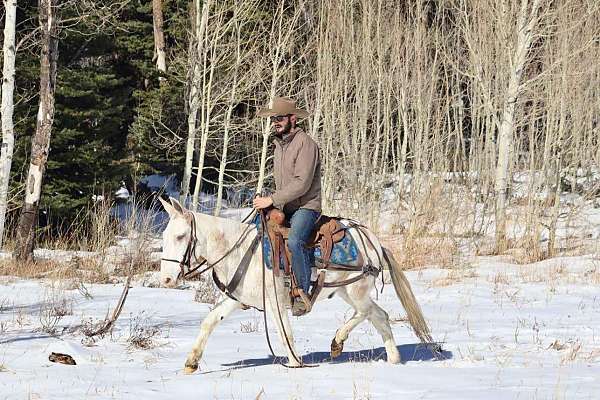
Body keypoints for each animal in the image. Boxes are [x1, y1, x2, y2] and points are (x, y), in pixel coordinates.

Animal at [157, 197, 434, 372]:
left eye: (181, 236)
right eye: (165, 236)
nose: (166, 279)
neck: (241, 251)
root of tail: (374, 241)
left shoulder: (275, 302)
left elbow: (284, 334)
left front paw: (294, 363)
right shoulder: (237, 300)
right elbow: (210, 321)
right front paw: (191, 362)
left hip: (357, 290)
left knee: (367, 313)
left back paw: (338, 341)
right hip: (347, 291)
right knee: (379, 316)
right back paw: (393, 359)